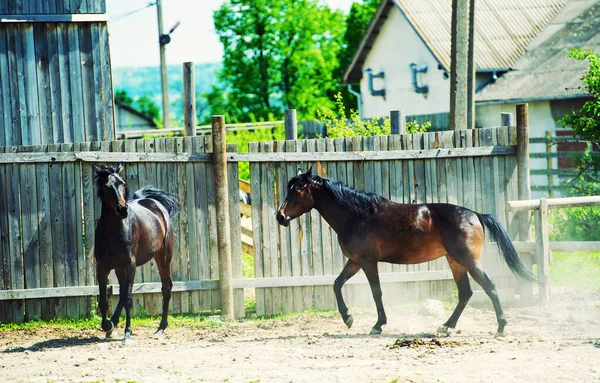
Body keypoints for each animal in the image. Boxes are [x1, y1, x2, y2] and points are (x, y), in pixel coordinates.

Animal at [92, 161, 178, 340]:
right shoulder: (103, 267)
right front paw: (107, 325)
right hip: (119, 268)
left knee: (166, 288)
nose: (122, 209)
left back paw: (161, 328)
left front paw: (128, 332)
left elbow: (129, 299)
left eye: (122, 183)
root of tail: (154, 203)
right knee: (123, 292)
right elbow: (104, 300)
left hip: (163, 258)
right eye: (106, 186)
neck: (113, 232)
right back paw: (113, 323)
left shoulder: (130, 265)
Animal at [276, 168, 540, 340]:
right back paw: (446, 327)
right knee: (465, 293)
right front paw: (347, 318)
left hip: (467, 260)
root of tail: (475, 214)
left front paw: (377, 325)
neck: (357, 215)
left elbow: (376, 292)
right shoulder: (355, 261)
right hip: (455, 261)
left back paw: (500, 328)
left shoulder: (368, 262)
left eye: (298, 189)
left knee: (489, 287)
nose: (280, 216)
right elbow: (337, 284)